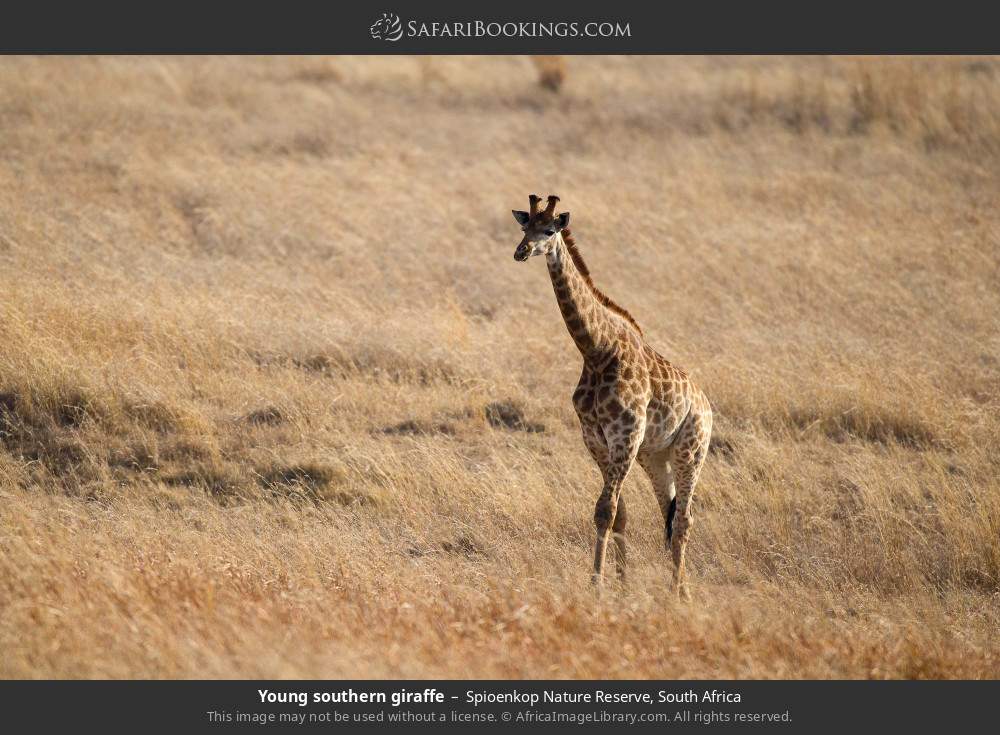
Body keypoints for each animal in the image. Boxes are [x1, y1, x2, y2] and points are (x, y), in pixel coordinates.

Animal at [511, 194, 713, 598]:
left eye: (550, 230)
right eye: (525, 226)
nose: (521, 252)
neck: (597, 350)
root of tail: (707, 406)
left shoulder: (625, 436)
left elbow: (605, 510)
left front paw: (597, 584)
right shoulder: (596, 438)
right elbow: (618, 514)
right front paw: (622, 583)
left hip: (691, 451)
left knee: (684, 519)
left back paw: (680, 592)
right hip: (655, 456)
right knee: (669, 515)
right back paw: (677, 586)